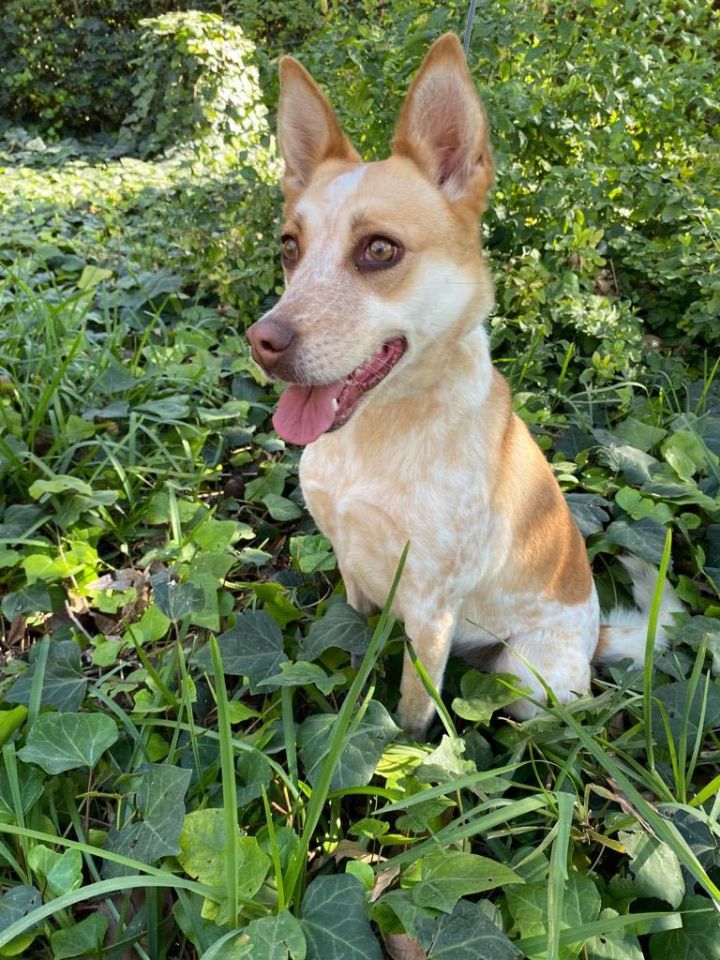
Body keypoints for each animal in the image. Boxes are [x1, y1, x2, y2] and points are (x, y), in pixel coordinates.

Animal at [248, 30, 680, 736]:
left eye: (379, 250)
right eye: (289, 247)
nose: (263, 341)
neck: (374, 439)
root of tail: (595, 638)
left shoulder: (430, 610)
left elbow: (412, 715)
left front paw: (402, 756)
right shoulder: (353, 575)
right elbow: (352, 641)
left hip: (526, 682)